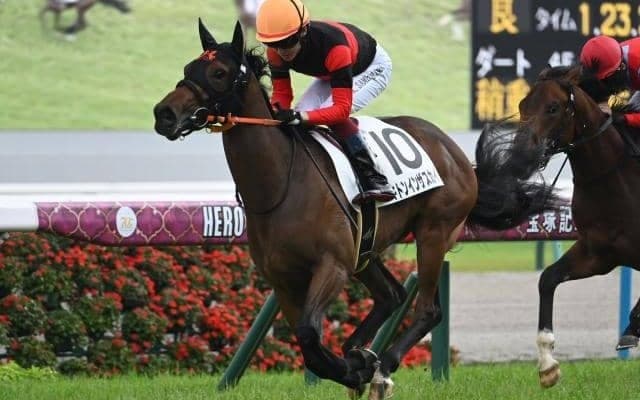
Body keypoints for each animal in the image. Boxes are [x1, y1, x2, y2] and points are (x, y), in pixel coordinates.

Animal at [152, 20, 557, 398]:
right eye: (189, 67)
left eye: (219, 73)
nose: (164, 113)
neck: (281, 185)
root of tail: (454, 152)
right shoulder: (282, 278)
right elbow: (307, 345)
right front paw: (354, 365)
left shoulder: (332, 265)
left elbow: (309, 335)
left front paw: (355, 370)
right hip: (367, 249)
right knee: (392, 295)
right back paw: (361, 352)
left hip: (433, 232)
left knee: (427, 309)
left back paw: (383, 366)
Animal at [510, 64, 640, 388]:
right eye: (522, 105)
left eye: (553, 107)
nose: (520, 155)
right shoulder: (599, 252)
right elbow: (548, 279)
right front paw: (547, 365)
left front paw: (632, 328)